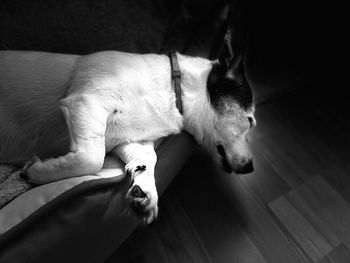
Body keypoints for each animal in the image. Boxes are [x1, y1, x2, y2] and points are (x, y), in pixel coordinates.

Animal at [0, 31, 258, 225]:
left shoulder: (131, 140)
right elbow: (92, 158)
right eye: (250, 121)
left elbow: (149, 159)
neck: (174, 88)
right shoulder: (86, 102)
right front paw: (37, 172)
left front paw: (145, 190)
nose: (251, 169)